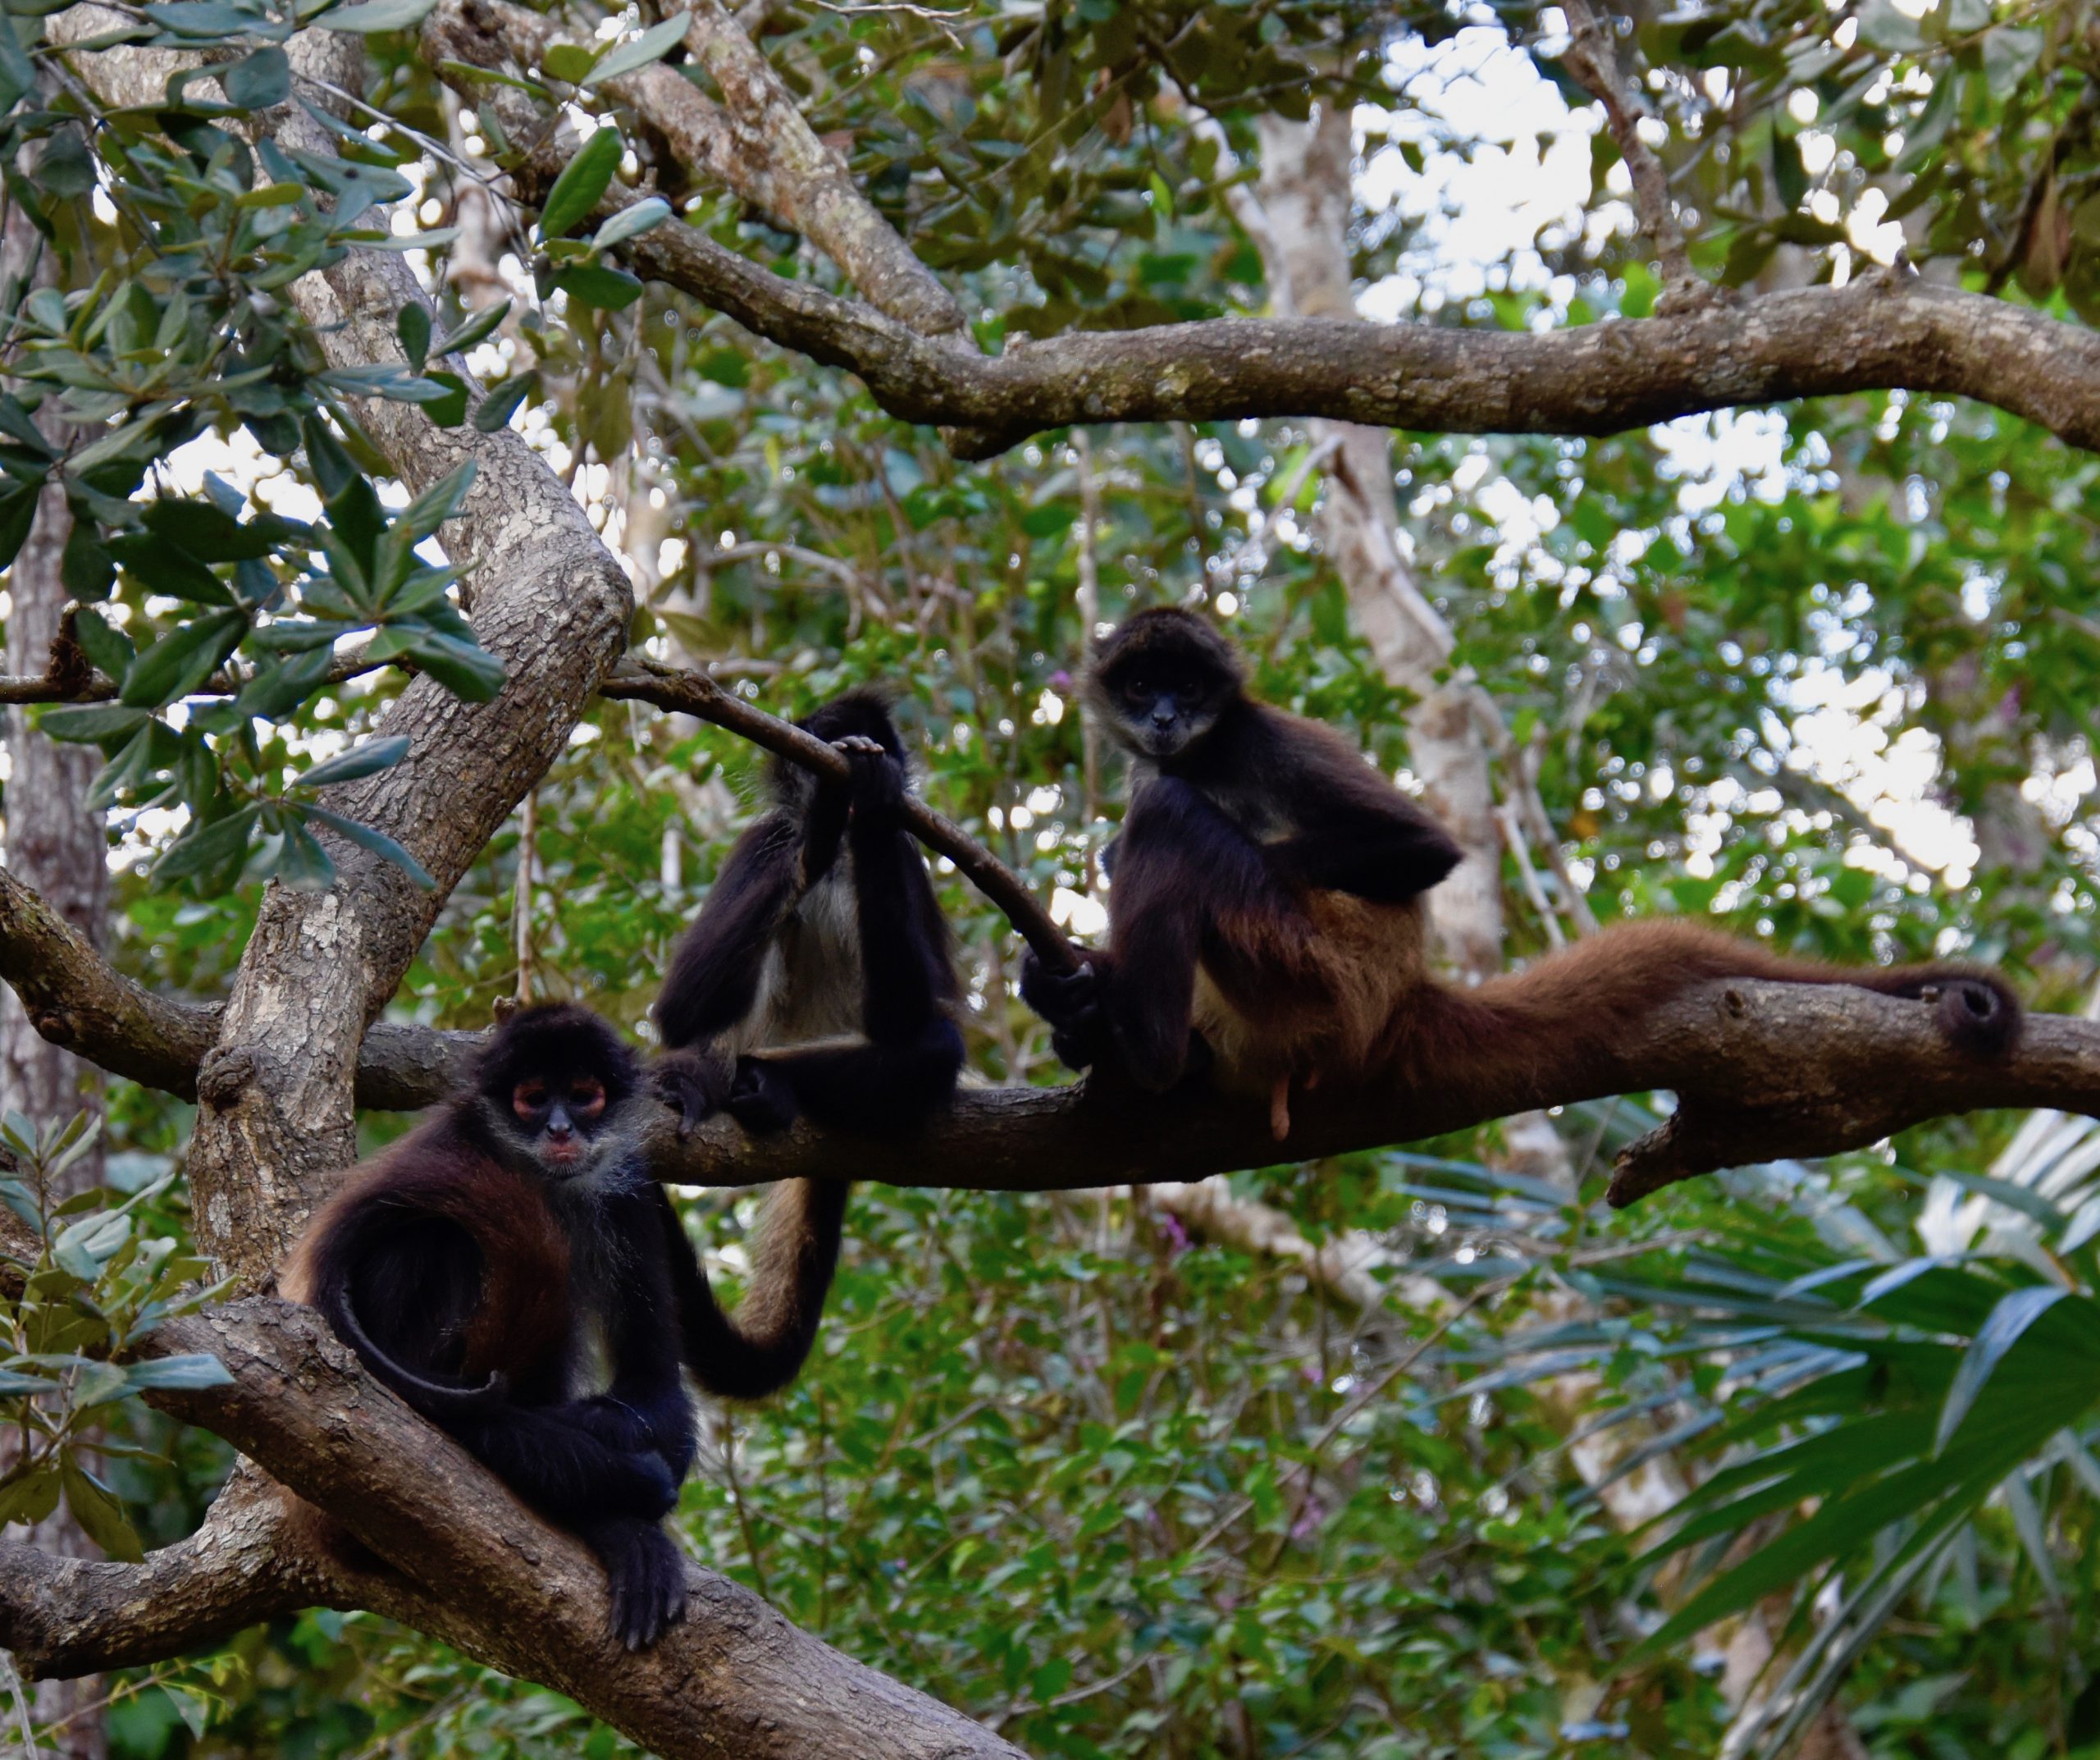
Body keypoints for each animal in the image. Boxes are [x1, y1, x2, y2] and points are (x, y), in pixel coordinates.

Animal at [285, 1008, 852, 1655]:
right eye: (533, 1100)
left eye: (584, 1096)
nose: (559, 1128)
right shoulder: (445, 1147)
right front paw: (616, 1485)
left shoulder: (626, 1192)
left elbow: (657, 1395)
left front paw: (606, 1439)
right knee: (435, 1239)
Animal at [646, 697, 966, 1386]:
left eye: (879, 740)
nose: (860, 760)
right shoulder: (764, 839)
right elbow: (680, 1009)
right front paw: (820, 824)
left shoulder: (907, 858)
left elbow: (922, 1017)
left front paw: (874, 803)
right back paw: (698, 1083)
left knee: (937, 1048)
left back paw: (772, 1087)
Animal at [1025, 613, 2024, 1150]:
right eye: (1144, 684)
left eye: (1190, 691)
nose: (1163, 718)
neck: (1201, 753)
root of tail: (1398, 995)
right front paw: (1060, 989)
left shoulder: (1251, 738)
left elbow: (1421, 848)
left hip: (1305, 973)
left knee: (1175, 821)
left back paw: (1147, 1048)